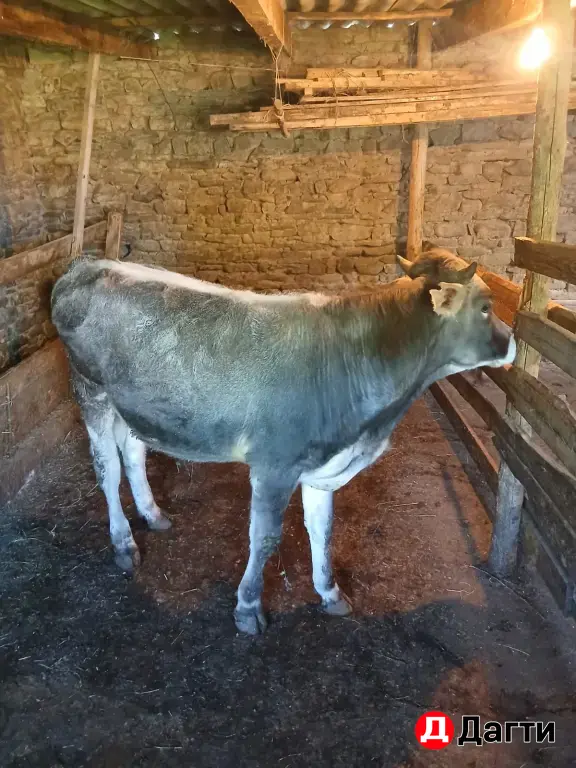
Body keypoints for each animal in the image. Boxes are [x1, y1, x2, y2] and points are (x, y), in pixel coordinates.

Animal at [51, 245, 515, 634]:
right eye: (486, 307)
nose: (511, 343)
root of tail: (87, 263)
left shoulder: (322, 462)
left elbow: (322, 528)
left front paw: (330, 593)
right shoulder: (274, 465)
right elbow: (265, 537)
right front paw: (248, 608)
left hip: (136, 406)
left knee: (133, 453)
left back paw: (152, 513)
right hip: (90, 390)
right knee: (107, 468)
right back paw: (123, 543)